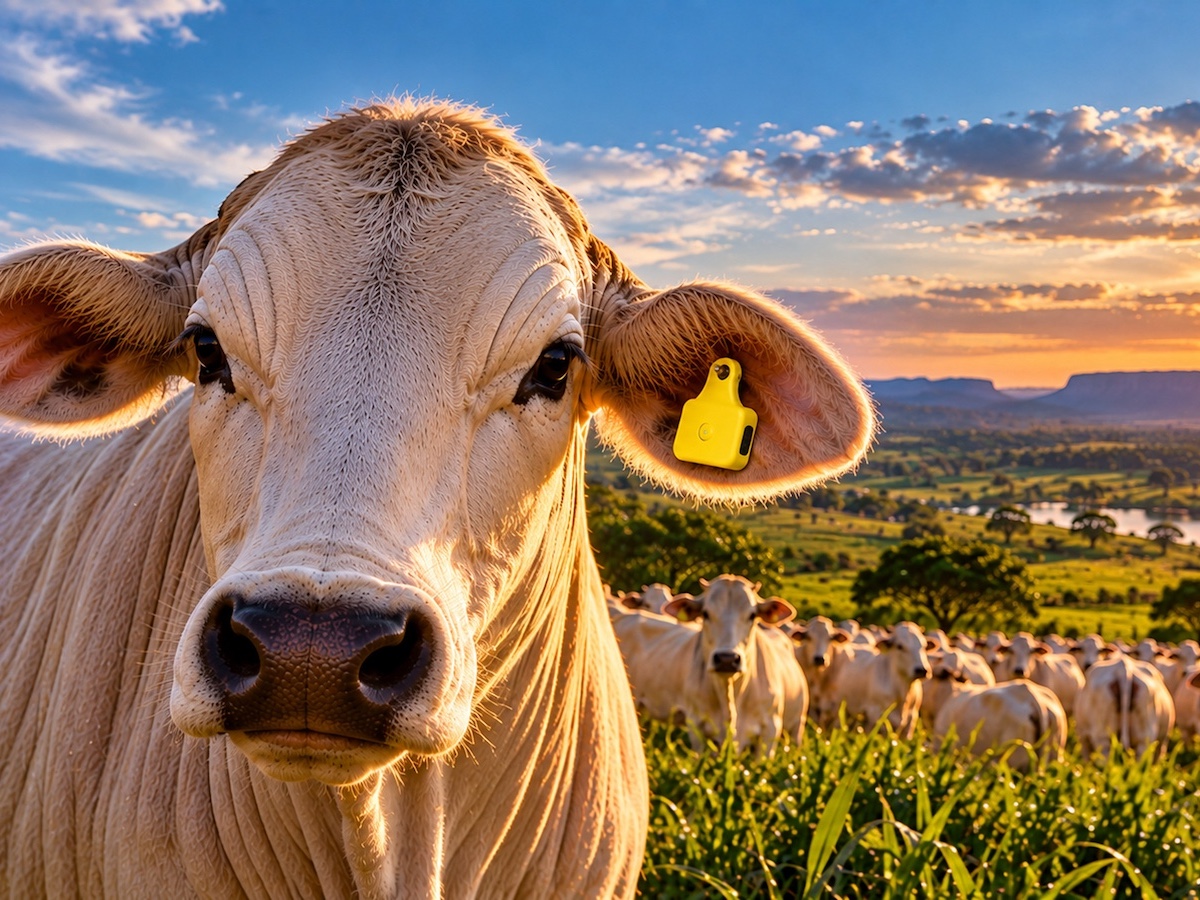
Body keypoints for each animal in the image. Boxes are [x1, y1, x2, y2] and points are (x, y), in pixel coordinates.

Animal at [637, 575, 809, 753]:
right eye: (705, 613)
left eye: (752, 615)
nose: (727, 658)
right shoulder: (696, 725)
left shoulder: (771, 729)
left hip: (798, 724)